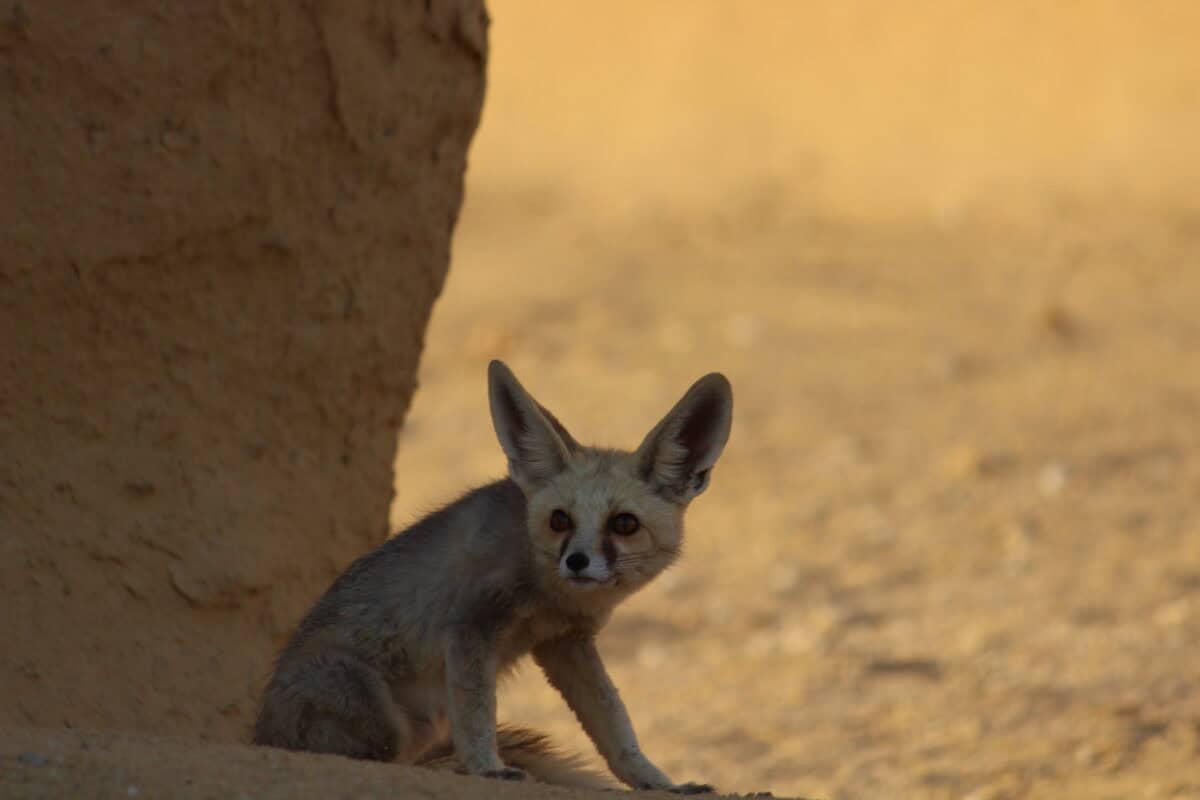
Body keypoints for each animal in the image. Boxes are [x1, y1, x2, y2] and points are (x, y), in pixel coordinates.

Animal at [253, 360, 733, 793]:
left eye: (624, 524)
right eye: (560, 520)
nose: (577, 562)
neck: (548, 590)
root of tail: (257, 731)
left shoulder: (565, 642)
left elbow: (614, 723)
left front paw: (658, 781)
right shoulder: (471, 623)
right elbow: (477, 710)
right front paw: (487, 767)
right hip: (379, 713)